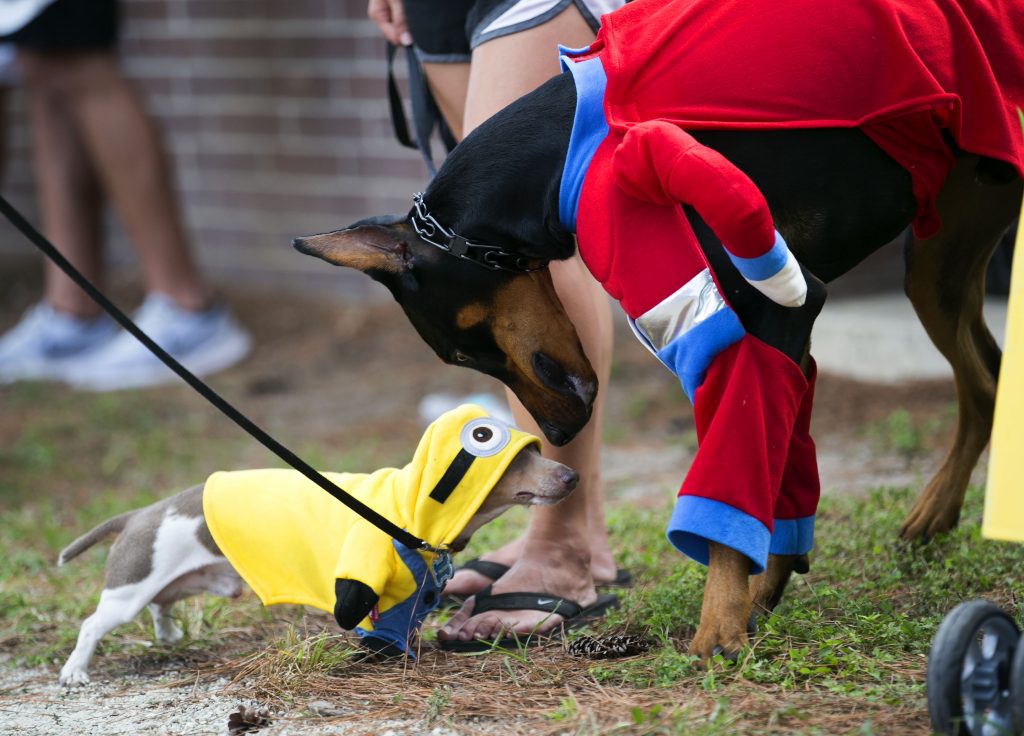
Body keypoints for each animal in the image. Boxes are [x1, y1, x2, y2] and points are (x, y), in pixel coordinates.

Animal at [58, 403, 577, 683]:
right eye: (515, 457)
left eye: (535, 451)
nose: (572, 476)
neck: (406, 509)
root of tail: (144, 512)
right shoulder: (367, 582)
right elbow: (375, 629)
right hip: (129, 590)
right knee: (93, 624)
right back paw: (76, 671)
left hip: (165, 582)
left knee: (160, 604)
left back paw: (167, 635)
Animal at [292, 0, 1019, 659]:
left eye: (468, 348)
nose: (559, 434)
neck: (564, 147)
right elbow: (778, 462)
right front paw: (764, 591)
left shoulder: (770, 308)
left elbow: (735, 464)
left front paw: (720, 627)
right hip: (938, 262)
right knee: (985, 380)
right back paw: (935, 513)